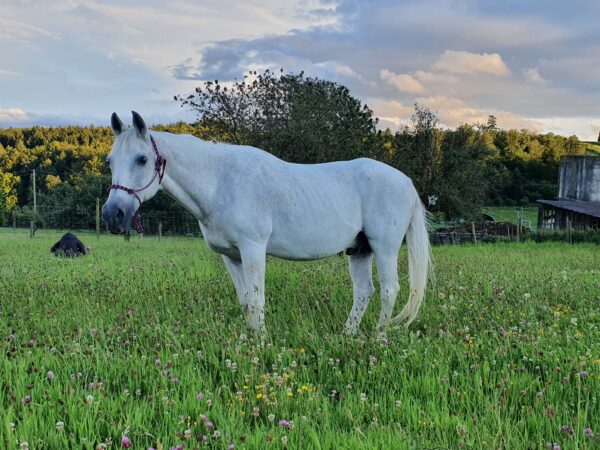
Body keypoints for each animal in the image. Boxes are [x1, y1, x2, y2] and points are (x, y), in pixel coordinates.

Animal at [103, 111, 432, 334]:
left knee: (390, 290)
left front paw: (261, 343)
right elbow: (246, 301)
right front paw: (250, 341)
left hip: (384, 248)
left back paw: (378, 337)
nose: (112, 214)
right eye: (109, 161)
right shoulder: (231, 256)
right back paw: (347, 335)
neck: (221, 182)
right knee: (364, 291)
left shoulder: (253, 249)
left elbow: (257, 299)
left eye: (142, 159)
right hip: (359, 250)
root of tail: (405, 181)